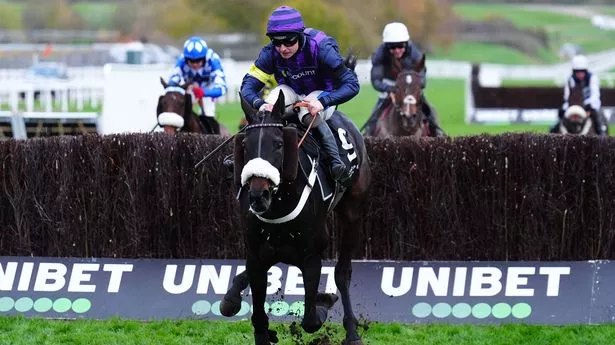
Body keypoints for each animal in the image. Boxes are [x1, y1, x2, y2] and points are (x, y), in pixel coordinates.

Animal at [223, 89, 370, 344]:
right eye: (245, 145)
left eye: (279, 144)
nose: (258, 195)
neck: (278, 207)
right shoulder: (256, 253)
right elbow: (258, 319)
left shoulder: (311, 255)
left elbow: (311, 320)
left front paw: (324, 301)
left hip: (352, 213)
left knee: (342, 273)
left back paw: (352, 331)